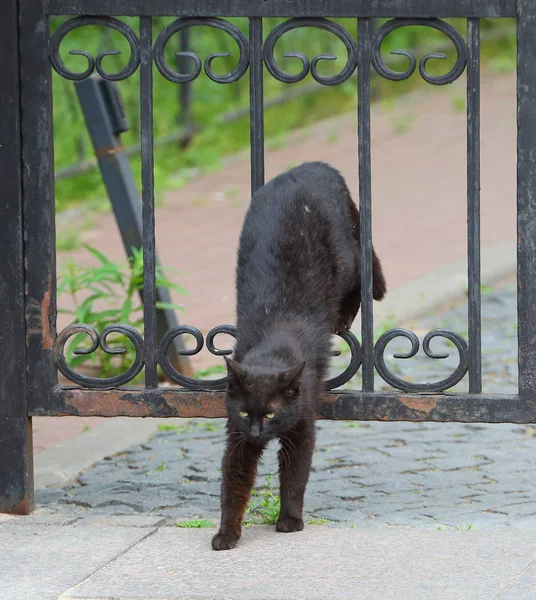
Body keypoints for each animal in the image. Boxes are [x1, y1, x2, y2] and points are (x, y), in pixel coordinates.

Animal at [210, 162, 386, 552]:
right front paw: (226, 533)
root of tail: (314, 166)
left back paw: (342, 318)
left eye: (271, 413)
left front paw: (290, 520)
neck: (273, 347)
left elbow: (295, 476)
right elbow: (234, 484)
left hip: (345, 259)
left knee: (362, 273)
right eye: (244, 412)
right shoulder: (236, 437)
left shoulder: (303, 426)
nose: (257, 432)